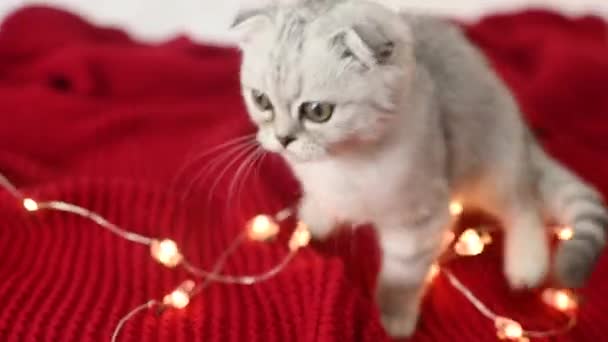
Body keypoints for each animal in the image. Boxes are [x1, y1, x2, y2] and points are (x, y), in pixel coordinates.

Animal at [230, 0, 604, 336]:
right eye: (261, 101)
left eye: (318, 111)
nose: (282, 139)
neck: (345, 161)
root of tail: (522, 132)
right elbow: (323, 200)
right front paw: (317, 214)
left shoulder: (419, 220)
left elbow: (402, 277)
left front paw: (391, 320)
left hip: (490, 164)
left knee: (524, 204)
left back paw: (527, 264)